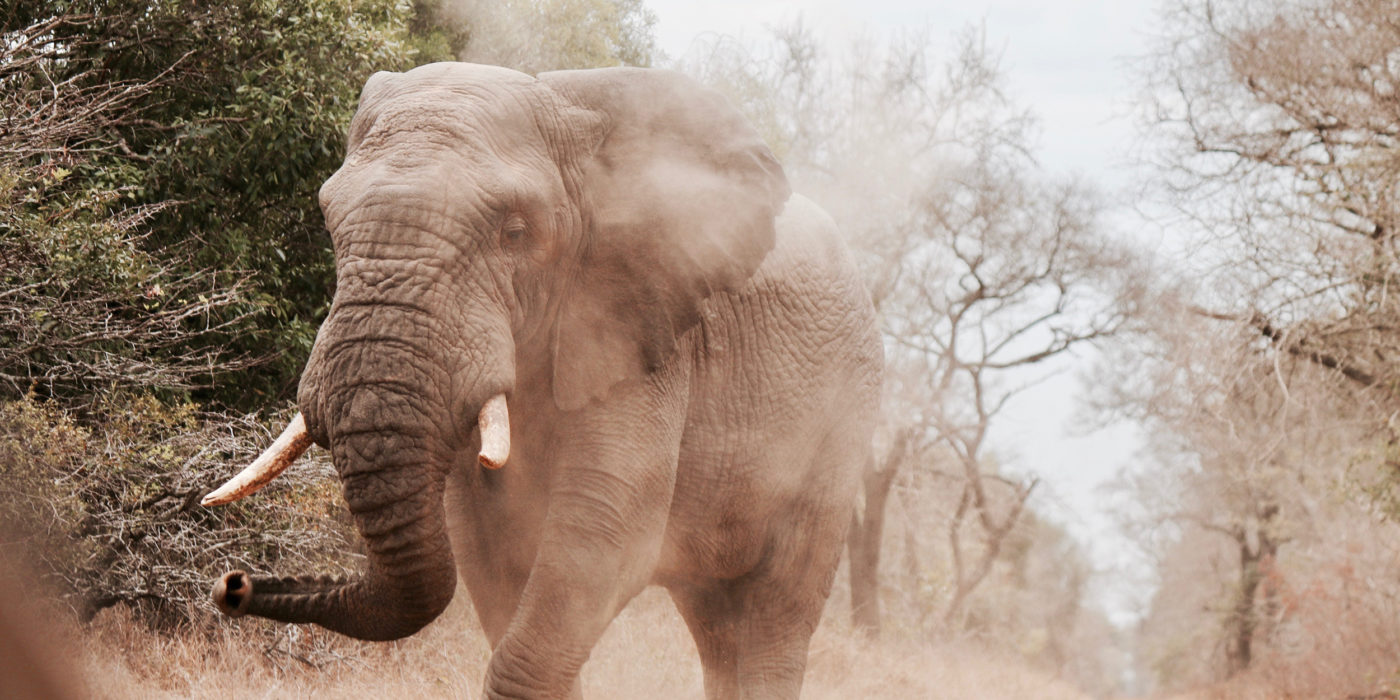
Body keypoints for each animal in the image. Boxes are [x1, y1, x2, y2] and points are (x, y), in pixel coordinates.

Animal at [203, 61, 879, 700]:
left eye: (516, 233)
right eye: (329, 221)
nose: (232, 584)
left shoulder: (642, 333)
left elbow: (604, 530)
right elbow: (487, 550)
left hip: (842, 419)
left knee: (776, 611)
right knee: (715, 620)